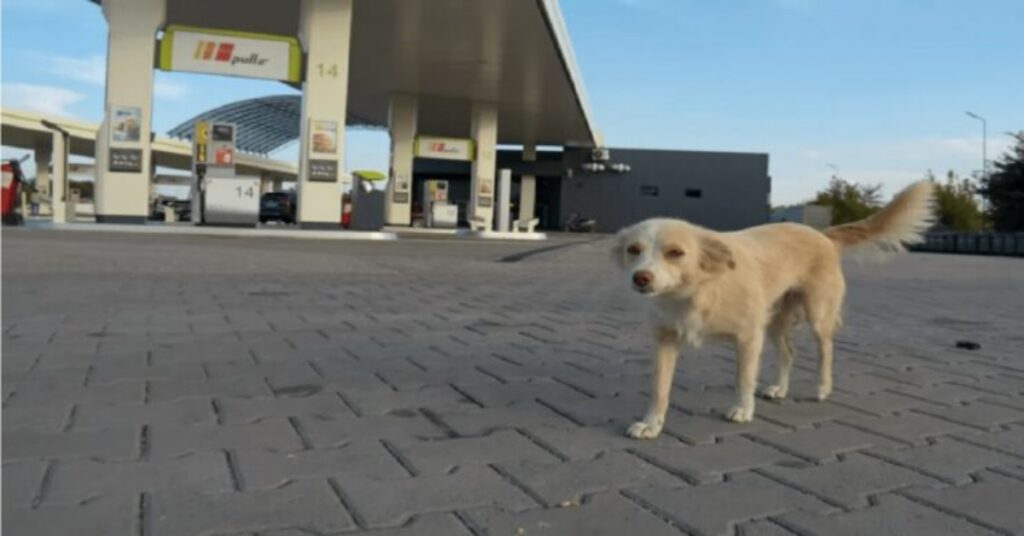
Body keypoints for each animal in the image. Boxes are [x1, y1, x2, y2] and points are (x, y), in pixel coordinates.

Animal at [606, 181, 937, 440]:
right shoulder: (665, 341)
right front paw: (651, 424)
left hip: (817, 315)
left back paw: (822, 387)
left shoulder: (748, 338)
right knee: (789, 352)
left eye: (676, 253)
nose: (641, 278)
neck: (696, 291)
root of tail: (823, 235)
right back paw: (780, 388)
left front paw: (743, 409)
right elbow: (659, 388)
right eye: (633, 250)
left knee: (826, 349)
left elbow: (743, 379)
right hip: (776, 321)